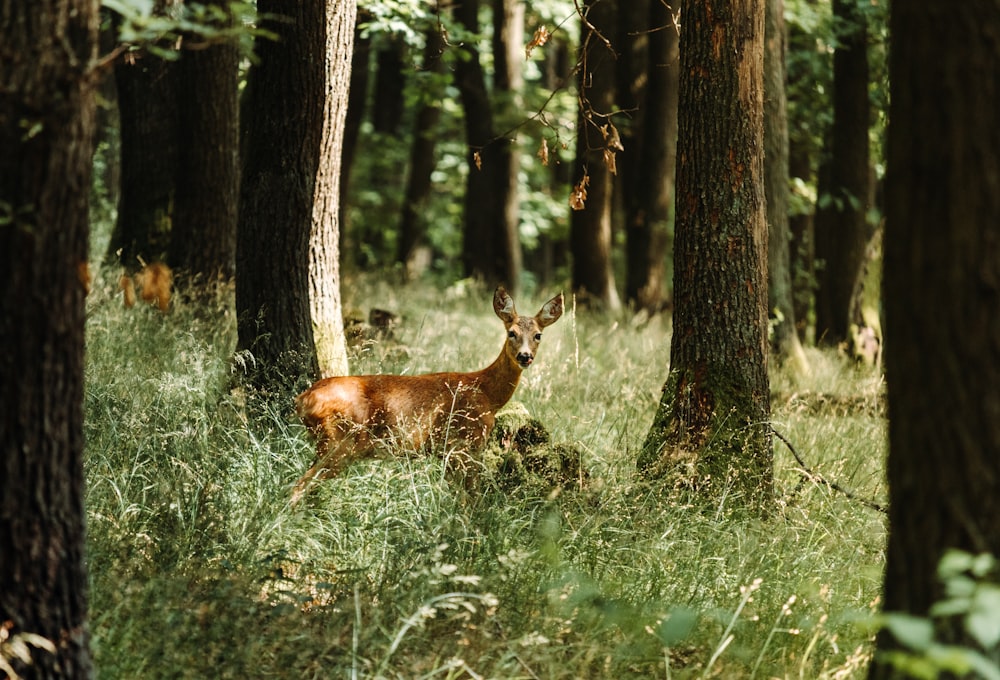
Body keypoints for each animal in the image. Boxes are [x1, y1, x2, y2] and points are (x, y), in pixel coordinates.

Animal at [292, 284, 568, 502]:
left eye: (538, 335)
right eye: (512, 333)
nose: (525, 356)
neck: (487, 393)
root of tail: (302, 400)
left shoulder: (447, 452)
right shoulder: (462, 444)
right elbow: (471, 499)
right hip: (339, 442)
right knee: (299, 486)